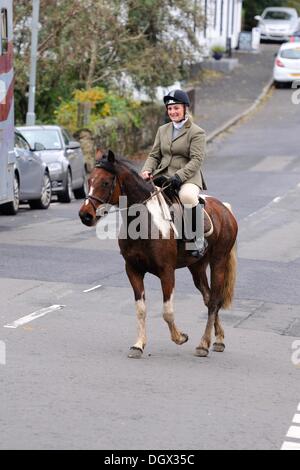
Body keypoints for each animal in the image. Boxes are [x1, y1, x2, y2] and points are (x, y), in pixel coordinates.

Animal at [78, 151, 238, 360]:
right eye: (89, 180)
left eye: (105, 182)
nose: (85, 215)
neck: (143, 222)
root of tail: (224, 209)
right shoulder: (133, 270)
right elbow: (141, 309)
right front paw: (138, 345)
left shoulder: (166, 272)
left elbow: (167, 311)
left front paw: (180, 337)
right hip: (197, 267)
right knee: (208, 297)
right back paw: (218, 339)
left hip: (218, 262)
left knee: (214, 302)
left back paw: (203, 344)